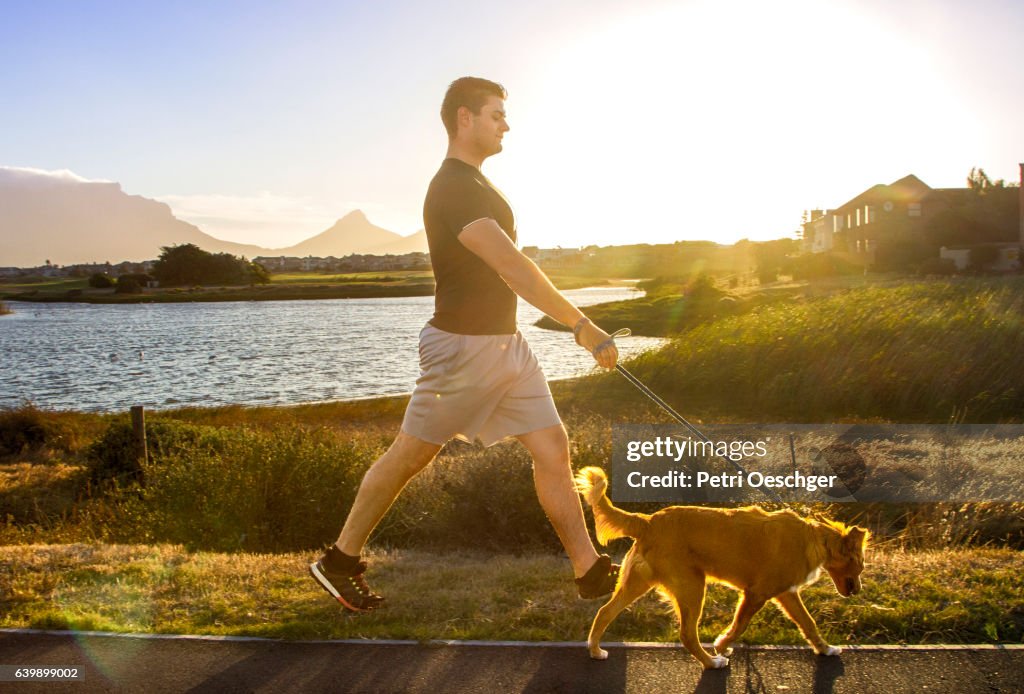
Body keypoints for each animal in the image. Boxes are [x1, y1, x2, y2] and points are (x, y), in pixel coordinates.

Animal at [573, 466, 868, 667]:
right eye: (860, 565)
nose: (858, 590)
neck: (814, 538)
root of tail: (648, 521)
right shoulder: (756, 594)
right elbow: (739, 626)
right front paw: (722, 645)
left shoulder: (787, 594)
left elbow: (809, 624)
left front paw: (825, 649)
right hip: (692, 587)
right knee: (687, 634)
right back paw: (711, 662)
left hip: (637, 583)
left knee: (604, 612)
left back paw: (595, 650)